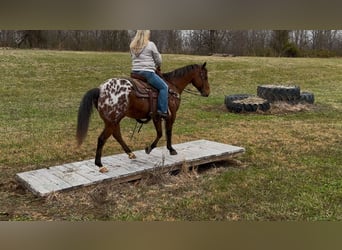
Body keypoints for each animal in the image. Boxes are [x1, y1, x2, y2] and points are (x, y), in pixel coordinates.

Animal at [76, 62, 210, 174]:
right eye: (205, 76)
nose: (207, 92)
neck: (172, 86)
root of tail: (100, 89)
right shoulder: (171, 116)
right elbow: (167, 132)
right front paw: (170, 149)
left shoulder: (156, 117)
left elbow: (160, 133)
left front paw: (150, 148)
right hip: (111, 122)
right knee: (102, 139)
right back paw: (100, 165)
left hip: (113, 121)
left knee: (117, 135)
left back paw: (130, 153)